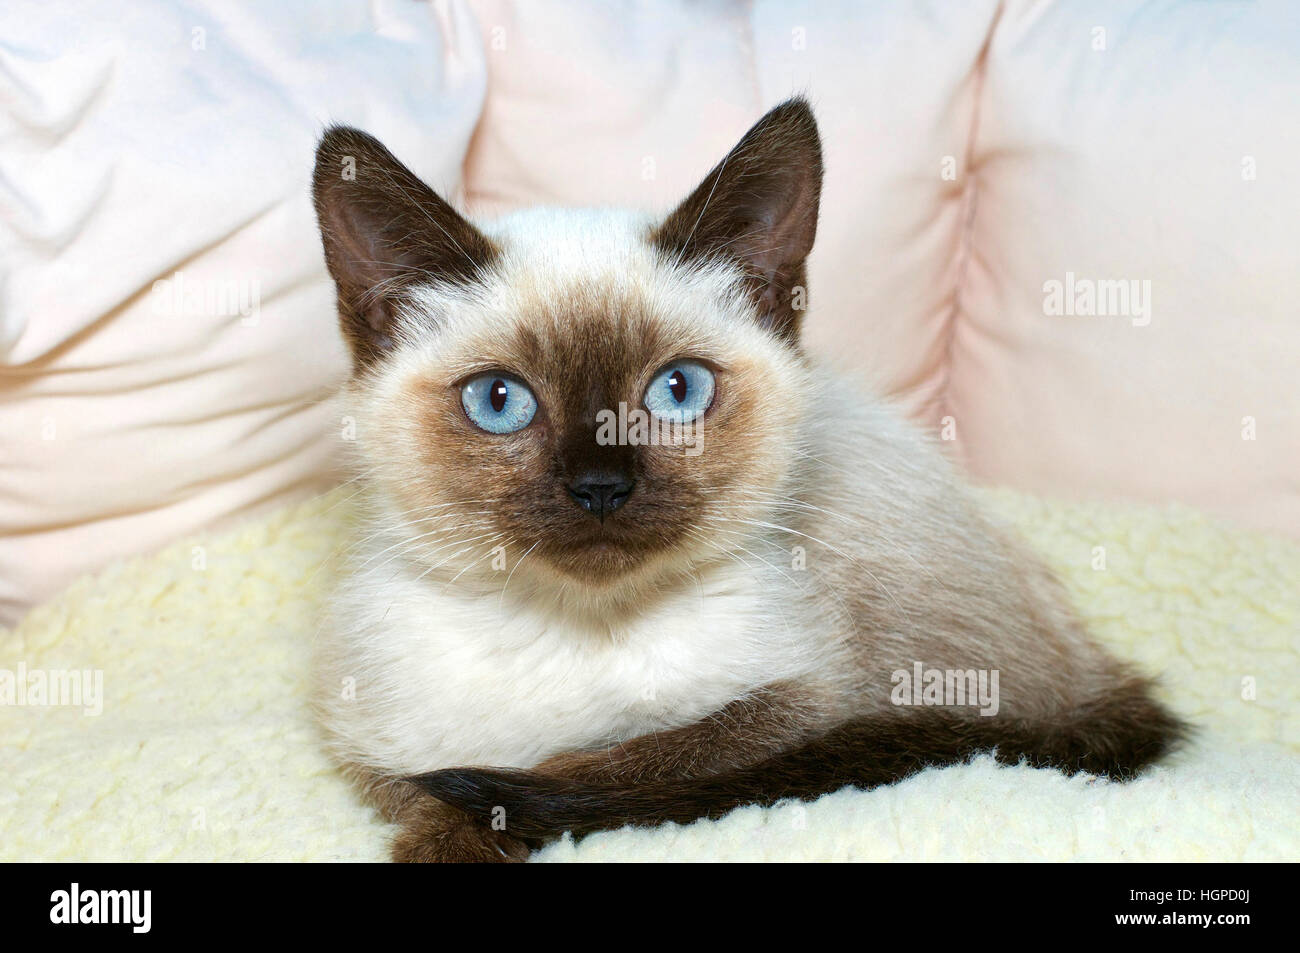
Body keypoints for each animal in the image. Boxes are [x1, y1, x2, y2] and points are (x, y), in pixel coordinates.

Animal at [309, 98, 1185, 863]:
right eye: (499, 401)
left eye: (678, 390)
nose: (600, 487)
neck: (579, 627)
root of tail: (1095, 662)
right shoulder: (373, 743)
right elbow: (434, 789)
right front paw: (448, 841)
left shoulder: (799, 703)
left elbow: (610, 765)